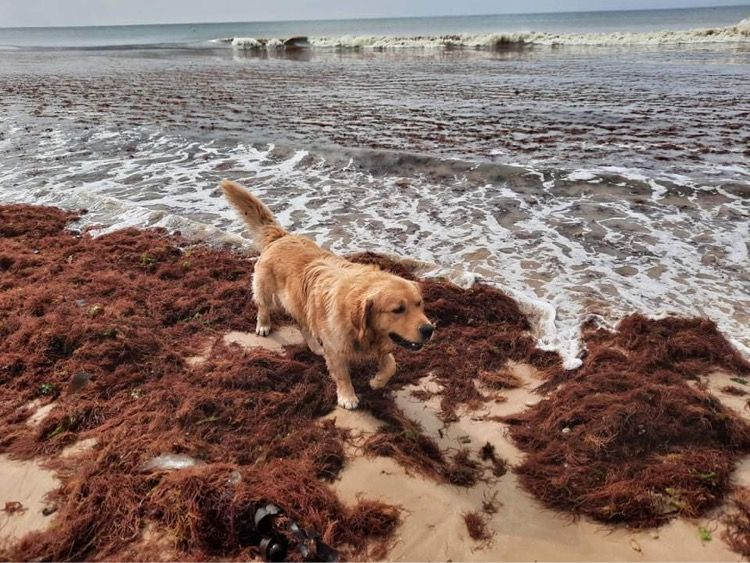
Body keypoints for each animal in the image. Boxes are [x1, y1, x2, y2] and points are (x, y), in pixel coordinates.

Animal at [220, 180, 434, 409]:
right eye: (398, 310)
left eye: (420, 304)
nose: (429, 329)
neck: (359, 325)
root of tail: (282, 236)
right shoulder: (336, 349)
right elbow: (342, 375)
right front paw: (347, 396)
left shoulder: (377, 344)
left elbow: (391, 364)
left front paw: (377, 381)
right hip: (269, 293)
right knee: (263, 307)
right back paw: (263, 325)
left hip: (301, 304)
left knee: (304, 325)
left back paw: (314, 346)